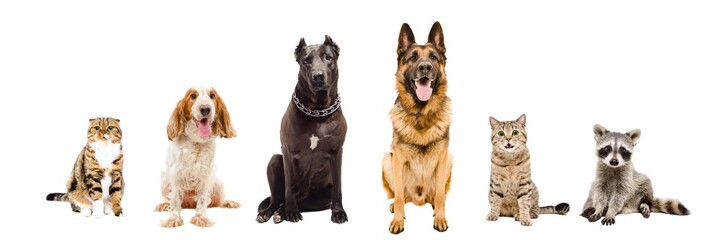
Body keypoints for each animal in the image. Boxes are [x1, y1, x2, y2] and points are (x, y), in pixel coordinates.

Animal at [154, 86, 239, 227]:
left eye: (212, 95)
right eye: (193, 96)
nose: (205, 109)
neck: (197, 141)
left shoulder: (207, 173)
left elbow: (203, 199)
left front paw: (201, 218)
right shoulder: (175, 173)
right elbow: (175, 199)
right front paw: (173, 219)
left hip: (218, 184)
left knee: (218, 201)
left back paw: (229, 202)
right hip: (164, 180)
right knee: (170, 199)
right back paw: (164, 205)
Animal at [256, 35, 350, 225]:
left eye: (328, 57)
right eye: (306, 60)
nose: (318, 76)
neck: (317, 112)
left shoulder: (337, 151)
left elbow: (338, 186)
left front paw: (338, 212)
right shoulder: (288, 151)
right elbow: (290, 186)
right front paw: (292, 212)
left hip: (320, 198)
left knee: (303, 202)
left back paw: (281, 211)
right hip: (274, 160)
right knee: (277, 199)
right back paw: (272, 212)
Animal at [382, 21, 450, 233]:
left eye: (433, 57)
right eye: (412, 58)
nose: (425, 67)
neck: (421, 116)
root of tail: (419, 198)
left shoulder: (443, 158)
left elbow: (440, 194)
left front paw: (440, 218)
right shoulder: (397, 158)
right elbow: (398, 196)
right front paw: (398, 220)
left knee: (436, 195)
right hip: (387, 161)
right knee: (402, 195)